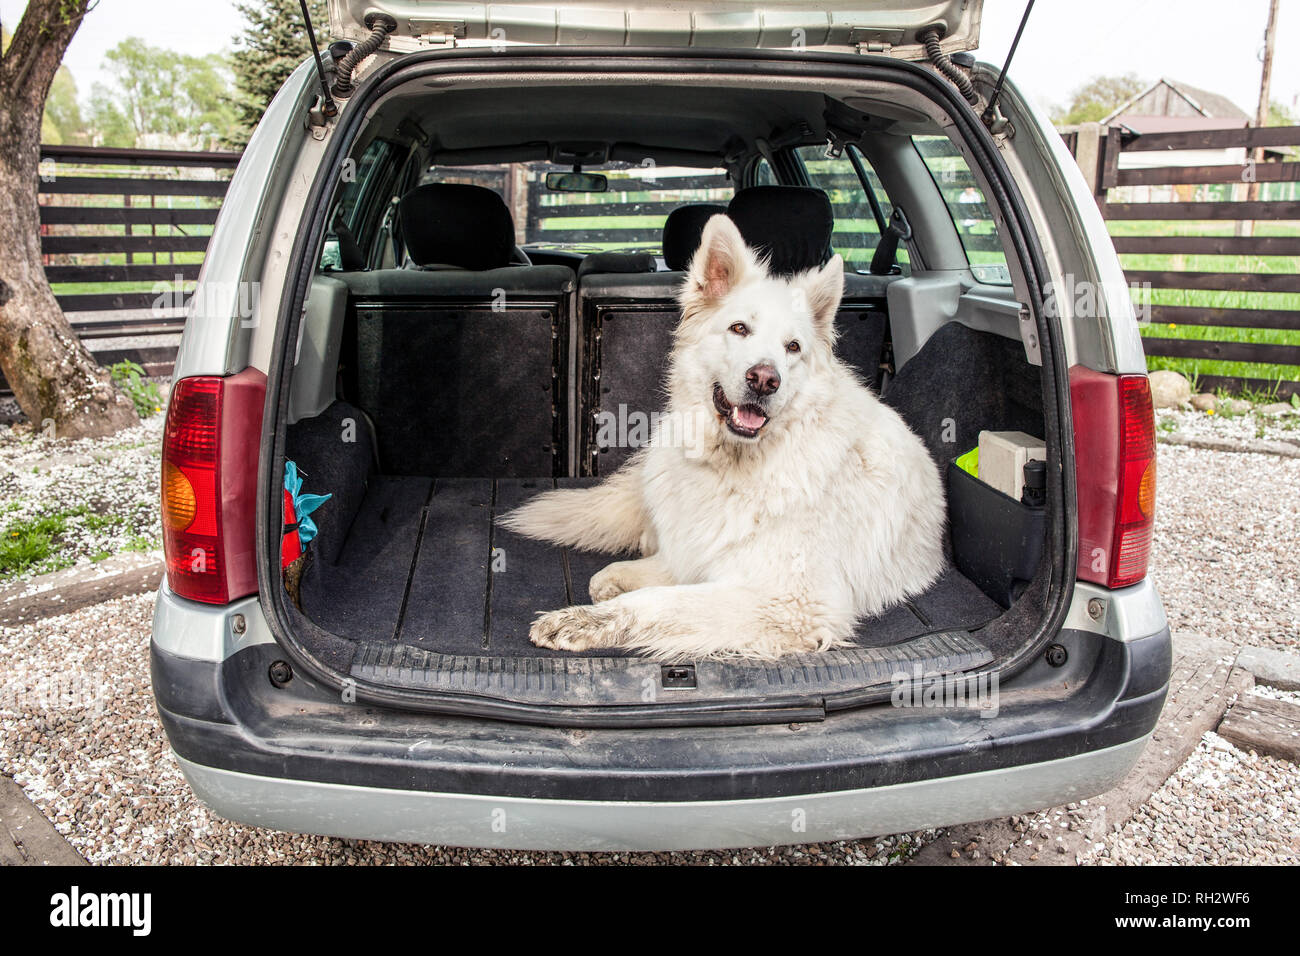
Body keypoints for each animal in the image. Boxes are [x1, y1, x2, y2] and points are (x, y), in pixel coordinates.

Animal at [499, 214, 946, 658]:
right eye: (739, 328)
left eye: (793, 347)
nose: (765, 379)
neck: (730, 465)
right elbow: (665, 569)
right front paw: (619, 578)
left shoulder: (788, 601)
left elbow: (663, 601)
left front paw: (586, 619)